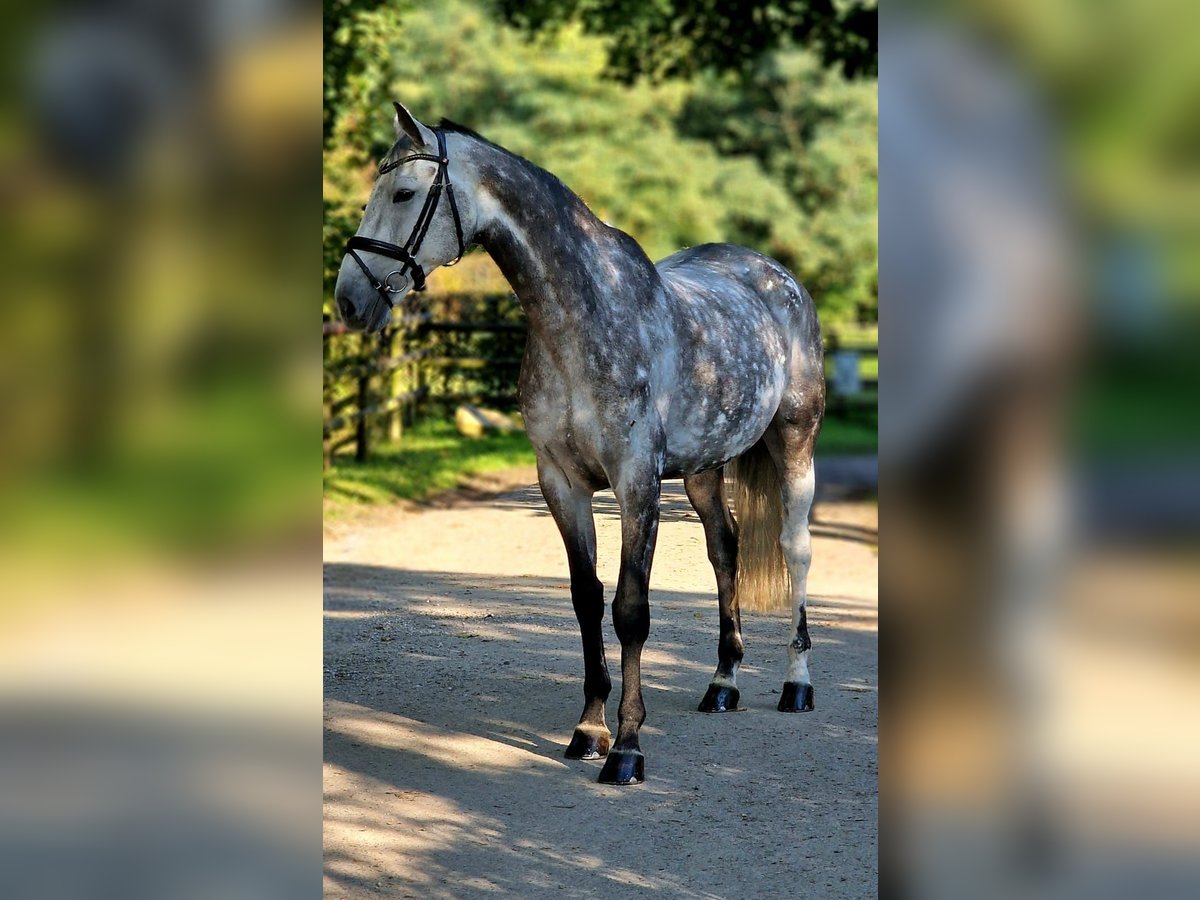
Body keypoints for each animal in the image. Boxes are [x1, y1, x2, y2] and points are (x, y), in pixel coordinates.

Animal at [338, 103, 825, 782]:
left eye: (404, 192)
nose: (348, 301)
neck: (581, 319)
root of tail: (776, 277)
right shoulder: (561, 483)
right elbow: (586, 599)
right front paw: (589, 730)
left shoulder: (636, 483)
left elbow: (630, 610)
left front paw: (627, 748)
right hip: (705, 468)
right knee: (724, 549)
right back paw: (723, 685)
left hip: (795, 442)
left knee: (794, 550)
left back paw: (797, 685)